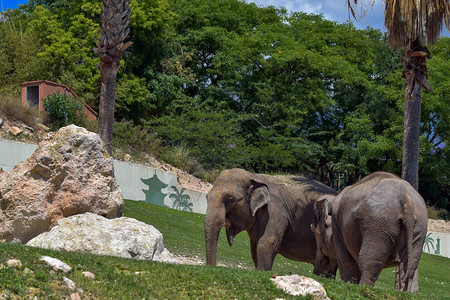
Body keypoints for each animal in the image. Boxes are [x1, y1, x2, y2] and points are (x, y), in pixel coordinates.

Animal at [204, 168, 338, 270]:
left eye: (230, 199)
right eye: (206, 197)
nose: (212, 267)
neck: (255, 176)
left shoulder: (276, 211)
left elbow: (266, 244)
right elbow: (254, 248)